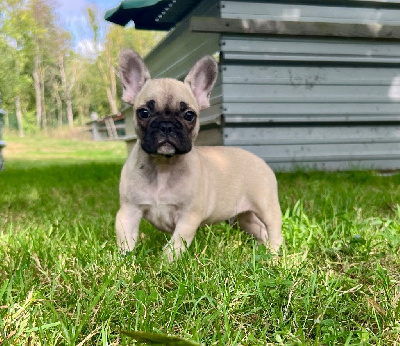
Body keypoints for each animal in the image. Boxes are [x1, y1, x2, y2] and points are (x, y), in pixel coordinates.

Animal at [115, 48, 284, 260]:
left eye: (189, 115)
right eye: (144, 112)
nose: (166, 126)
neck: (163, 166)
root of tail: (259, 160)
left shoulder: (188, 217)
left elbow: (175, 244)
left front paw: (165, 263)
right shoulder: (128, 213)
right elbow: (126, 242)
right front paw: (124, 261)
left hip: (266, 206)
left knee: (274, 229)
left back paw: (274, 254)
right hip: (243, 217)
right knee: (259, 229)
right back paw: (263, 252)